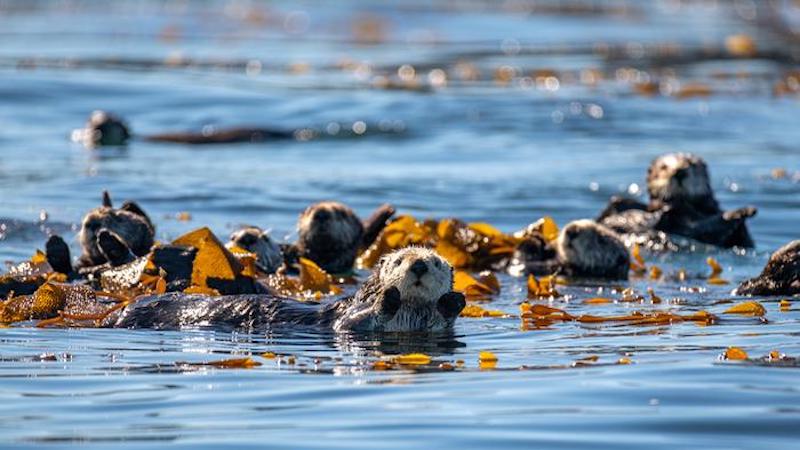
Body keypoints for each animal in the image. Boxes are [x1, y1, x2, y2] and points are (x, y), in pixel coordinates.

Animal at [111, 244, 462, 332]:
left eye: (434, 262)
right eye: (400, 260)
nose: (418, 266)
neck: (409, 316)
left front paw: (453, 301)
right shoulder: (348, 319)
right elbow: (355, 321)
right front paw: (388, 297)